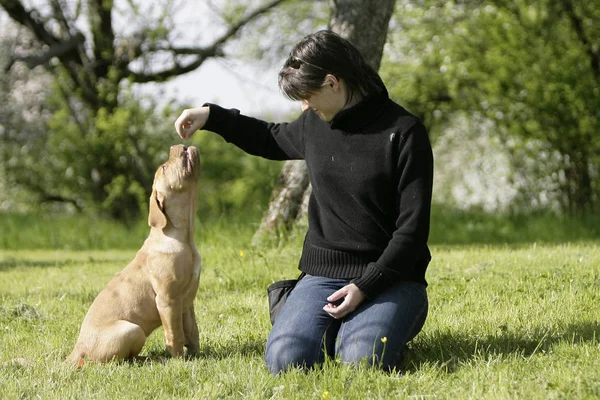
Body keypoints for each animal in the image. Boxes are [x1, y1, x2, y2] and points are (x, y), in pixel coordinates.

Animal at [65, 145, 202, 364]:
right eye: (164, 168)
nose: (176, 146)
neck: (184, 237)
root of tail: (78, 348)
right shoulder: (168, 300)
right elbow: (175, 334)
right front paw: (179, 359)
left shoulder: (187, 302)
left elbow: (192, 331)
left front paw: (197, 354)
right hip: (132, 330)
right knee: (117, 361)